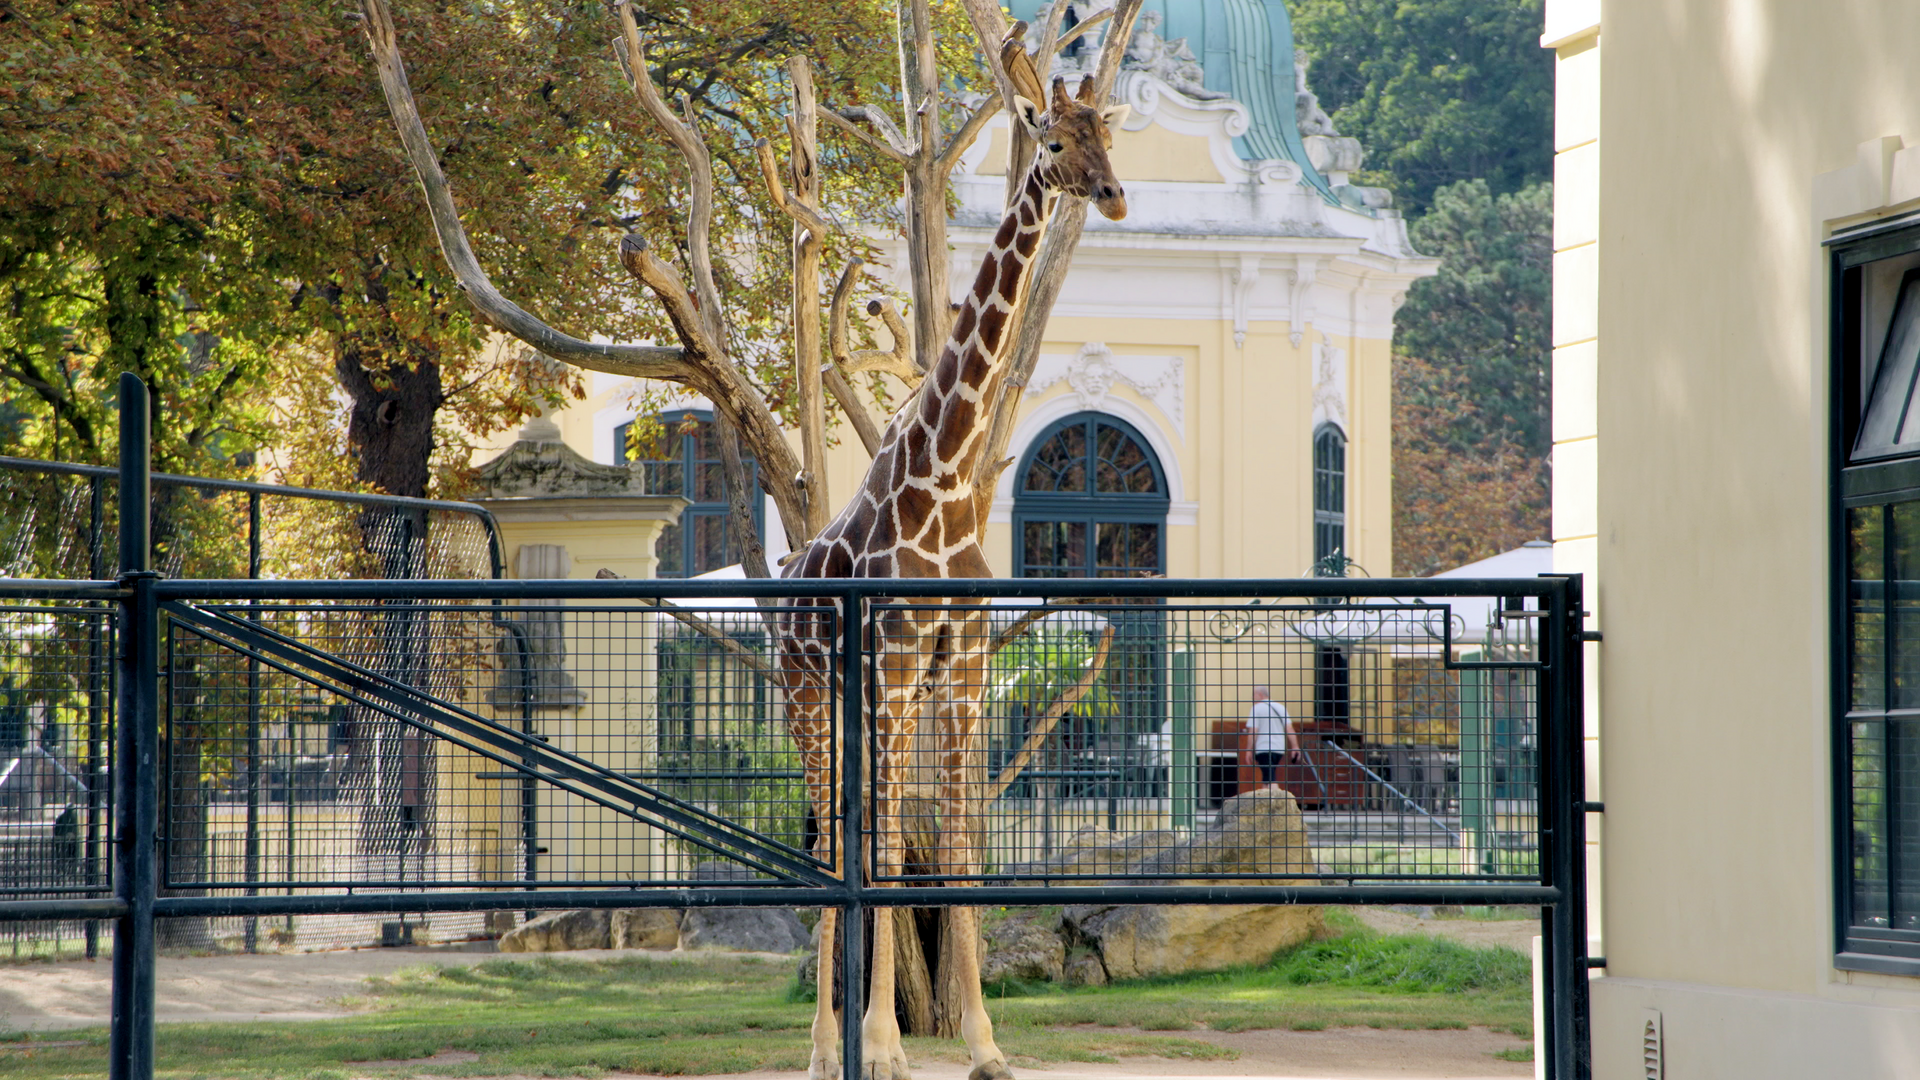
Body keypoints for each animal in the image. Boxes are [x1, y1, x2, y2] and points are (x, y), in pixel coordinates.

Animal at [777, 76, 1130, 1080]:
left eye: (1104, 132)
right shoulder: (896, 670)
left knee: (851, 835)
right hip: (807, 697)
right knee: (834, 844)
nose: (1113, 195)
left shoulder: (963, 670)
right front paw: (884, 1045)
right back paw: (822, 1046)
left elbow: (963, 845)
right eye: (1052, 141)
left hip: (857, 705)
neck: (943, 481)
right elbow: (891, 854)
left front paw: (983, 1041)